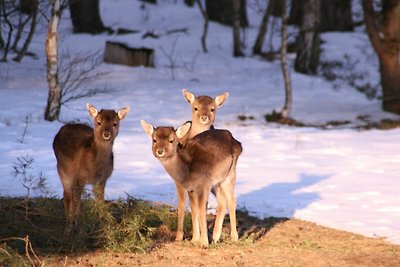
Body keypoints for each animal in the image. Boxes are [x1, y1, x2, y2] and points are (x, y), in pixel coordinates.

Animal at [53, 103, 130, 236]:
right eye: (98, 122)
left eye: (115, 123)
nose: (106, 134)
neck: (95, 168)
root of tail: (61, 129)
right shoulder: (79, 178)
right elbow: (75, 203)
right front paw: (74, 230)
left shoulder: (102, 180)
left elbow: (100, 203)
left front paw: (106, 227)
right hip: (62, 170)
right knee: (67, 197)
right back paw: (69, 226)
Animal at [141, 120, 241, 248]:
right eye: (154, 139)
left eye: (171, 140)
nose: (160, 151)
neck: (187, 171)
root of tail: (238, 143)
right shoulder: (191, 188)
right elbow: (193, 209)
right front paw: (194, 239)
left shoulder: (204, 184)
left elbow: (202, 210)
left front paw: (204, 243)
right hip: (216, 183)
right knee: (222, 201)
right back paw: (215, 237)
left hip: (229, 174)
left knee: (232, 200)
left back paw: (234, 237)